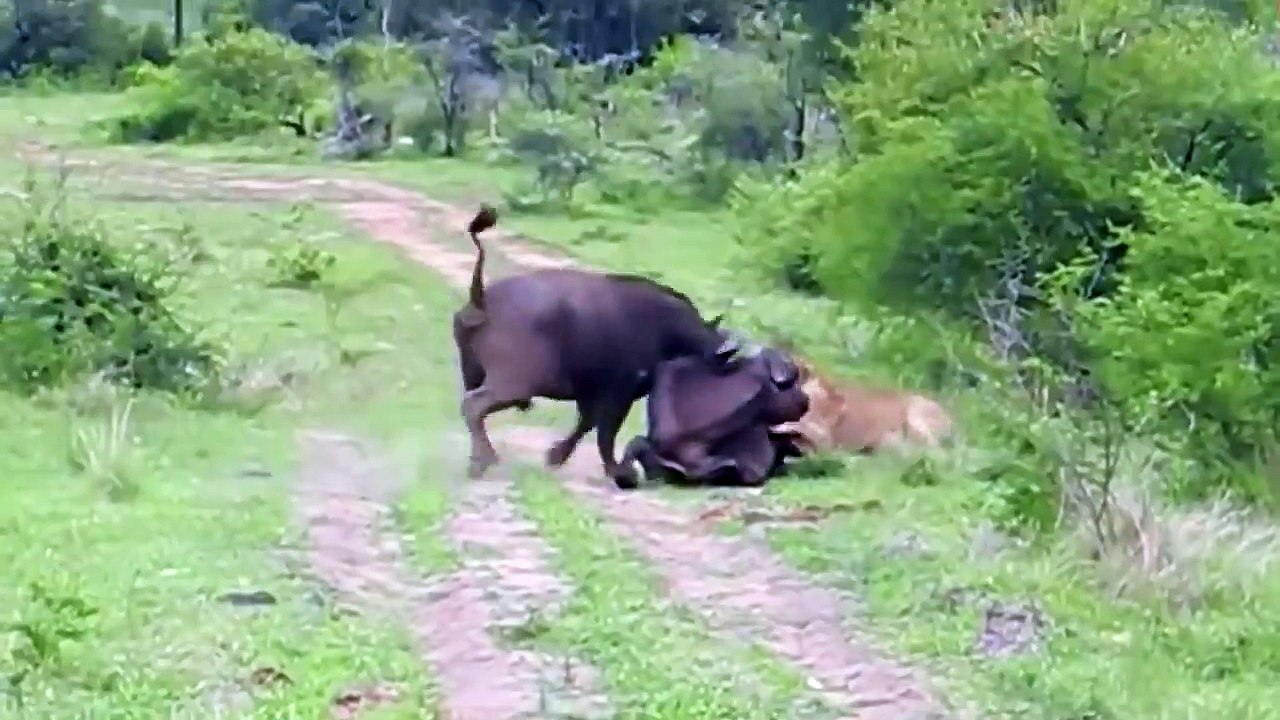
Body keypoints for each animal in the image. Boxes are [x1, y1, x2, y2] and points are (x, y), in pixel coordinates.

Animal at [451, 205, 738, 485]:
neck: (668, 328)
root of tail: (482, 301)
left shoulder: (590, 392)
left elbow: (587, 424)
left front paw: (556, 455)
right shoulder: (619, 393)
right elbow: (606, 433)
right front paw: (620, 472)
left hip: (478, 375)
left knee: (473, 410)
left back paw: (477, 460)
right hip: (515, 383)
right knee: (473, 406)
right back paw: (484, 460)